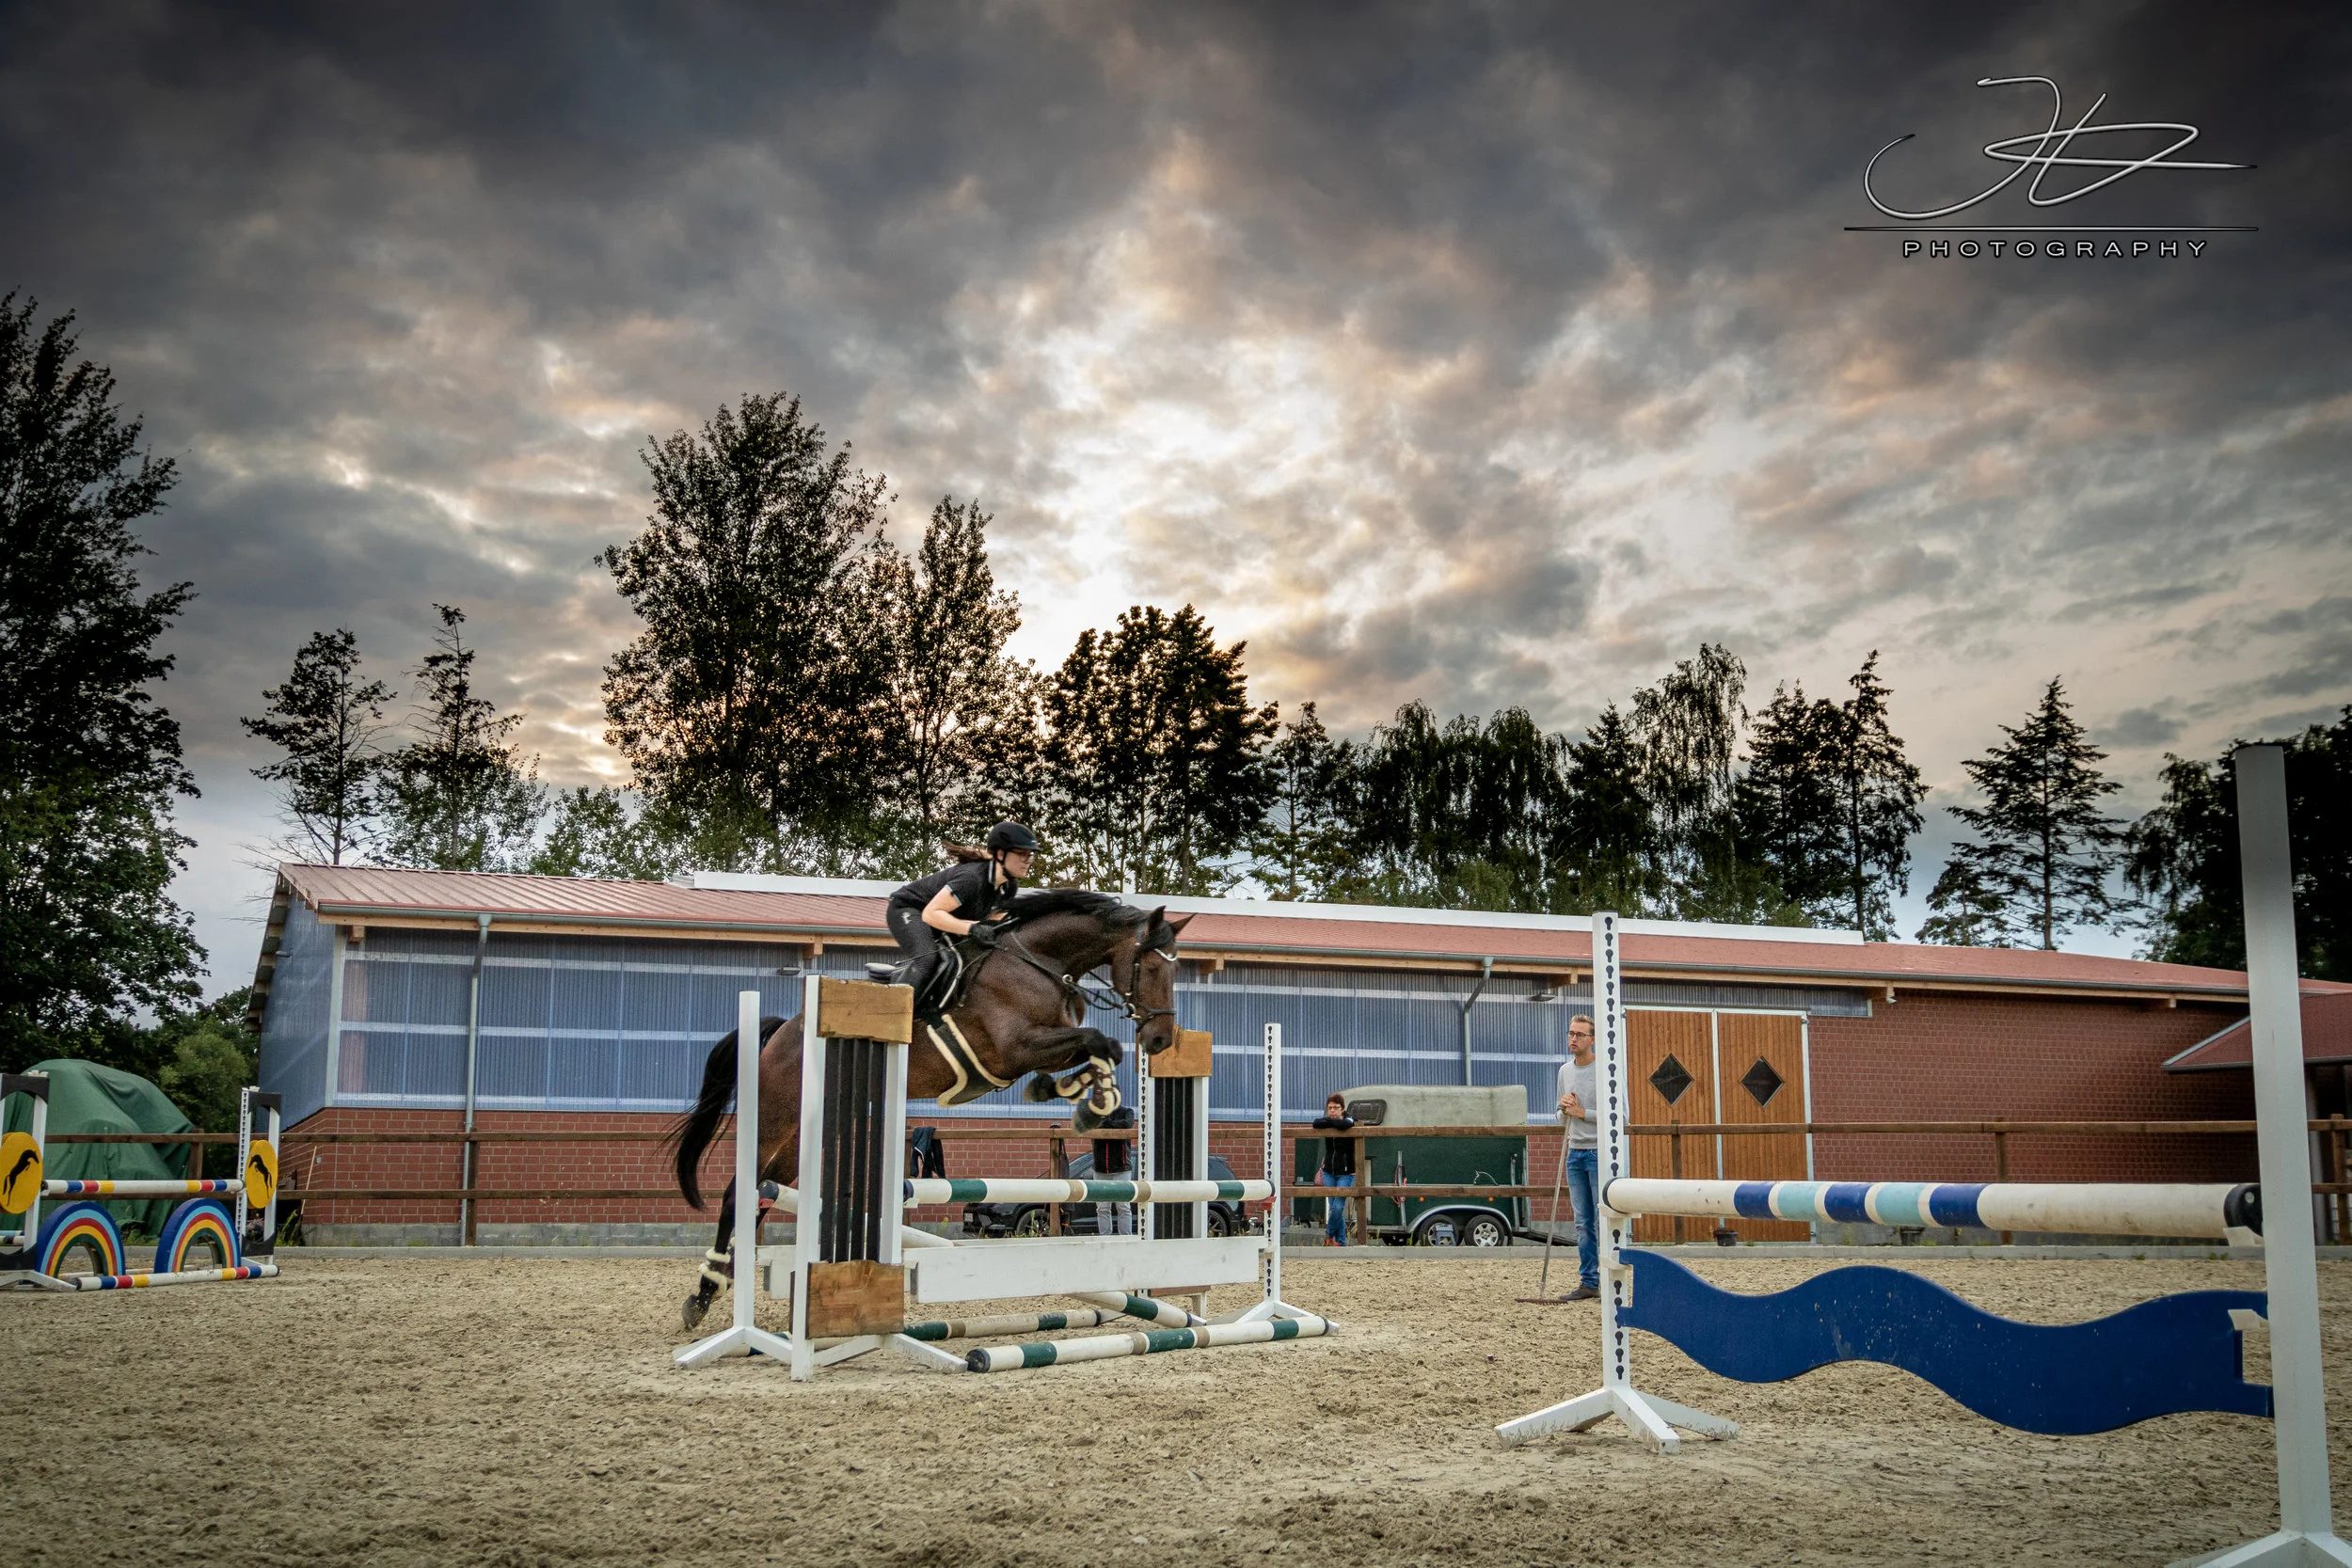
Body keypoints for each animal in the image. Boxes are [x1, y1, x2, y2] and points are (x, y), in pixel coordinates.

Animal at [669, 890, 1189, 1330]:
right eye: (1152, 968)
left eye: (1176, 972)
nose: (1161, 1040)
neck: (1037, 965)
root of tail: (779, 1032)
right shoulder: (1014, 1049)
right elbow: (1099, 1042)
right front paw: (1082, 1102)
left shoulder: (1043, 1048)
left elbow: (1102, 1049)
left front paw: (1079, 1095)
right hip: (777, 1115)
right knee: (738, 1192)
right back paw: (703, 1295)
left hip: (802, 1134)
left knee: (763, 1192)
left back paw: (719, 1284)